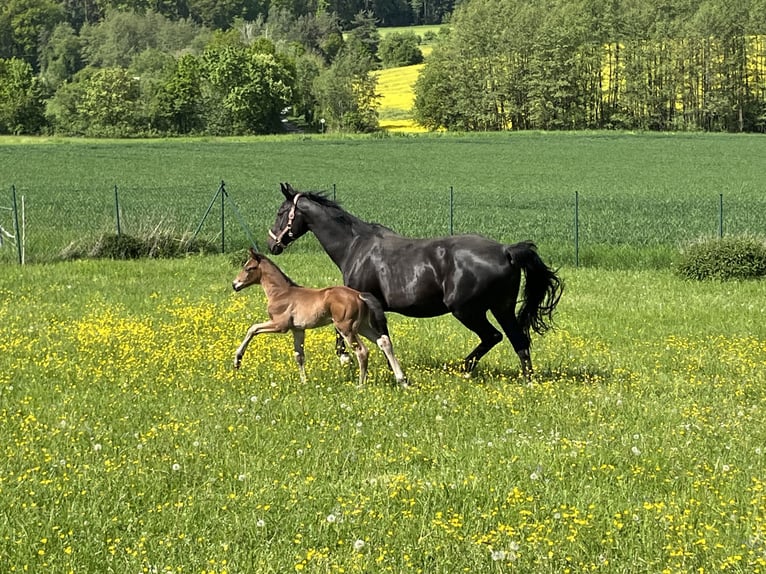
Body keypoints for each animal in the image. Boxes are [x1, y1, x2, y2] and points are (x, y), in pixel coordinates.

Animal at [232, 249, 408, 388]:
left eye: (249, 268)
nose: (235, 284)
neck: (281, 293)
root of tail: (359, 295)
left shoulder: (279, 325)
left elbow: (252, 328)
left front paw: (237, 360)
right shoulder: (298, 330)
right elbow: (299, 356)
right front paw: (304, 382)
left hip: (346, 328)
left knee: (362, 351)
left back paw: (360, 385)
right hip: (362, 326)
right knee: (383, 341)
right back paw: (402, 380)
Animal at [266, 183, 564, 378]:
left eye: (281, 212)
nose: (272, 245)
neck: (355, 246)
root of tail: (505, 250)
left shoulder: (362, 301)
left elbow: (351, 333)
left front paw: (346, 360)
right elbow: (380, 337)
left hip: (467, 310)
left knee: (494, 336)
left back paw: (465, 368)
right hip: (502, 308)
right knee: (519, 341)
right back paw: (526, 380)